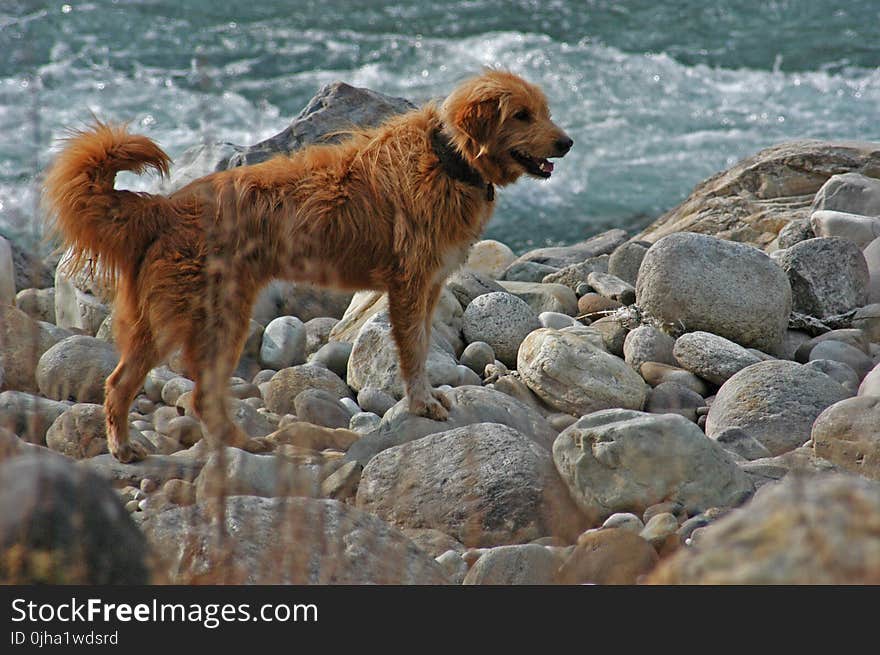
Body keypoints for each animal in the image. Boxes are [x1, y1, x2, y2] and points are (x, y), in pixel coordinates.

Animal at [44, 69, 576, 464]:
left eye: (544, 111)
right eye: (522, 115)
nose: (567, 143)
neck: (448, 158)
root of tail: (165, 207)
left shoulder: (428, 287)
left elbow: (422, 347)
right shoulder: (410, 285)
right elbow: (413, 353)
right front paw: (422, 402)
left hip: (169, 319)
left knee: (137, 385)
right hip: (207, 316)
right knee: (168, 391)